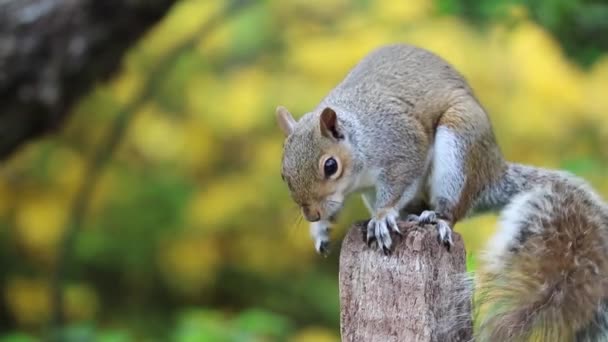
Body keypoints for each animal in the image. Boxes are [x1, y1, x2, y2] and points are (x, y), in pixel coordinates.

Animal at [276, 44, 608, 340]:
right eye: (283, 173)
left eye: (330, 166)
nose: (311, 214)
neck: (360, 138)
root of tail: (491, 174)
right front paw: (321, 230)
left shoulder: (403, 145)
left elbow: (400, 182)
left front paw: (382, 218)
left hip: (459, 146)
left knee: (453, 209)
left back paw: (436, 218)